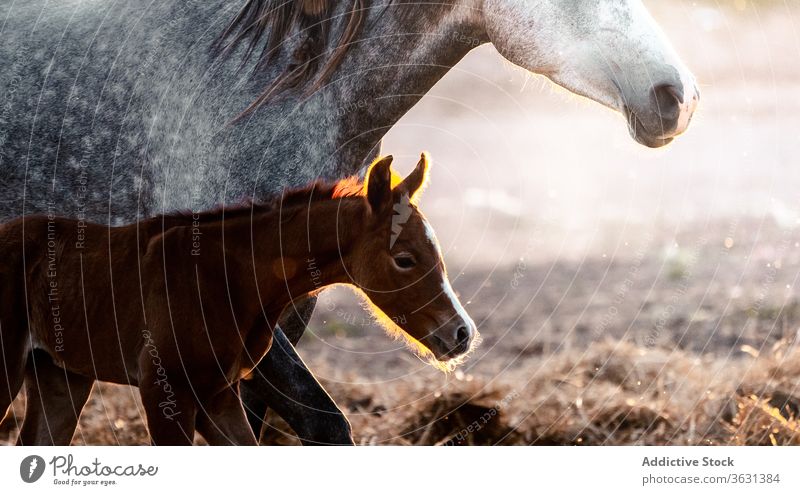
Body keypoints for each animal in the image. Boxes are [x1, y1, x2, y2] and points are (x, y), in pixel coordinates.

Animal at [0, 155, 476, 446]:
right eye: (405, 259)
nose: (461, 334)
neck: (228, 276)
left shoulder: (220, 395)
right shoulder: (164, 391)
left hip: (61, 376)